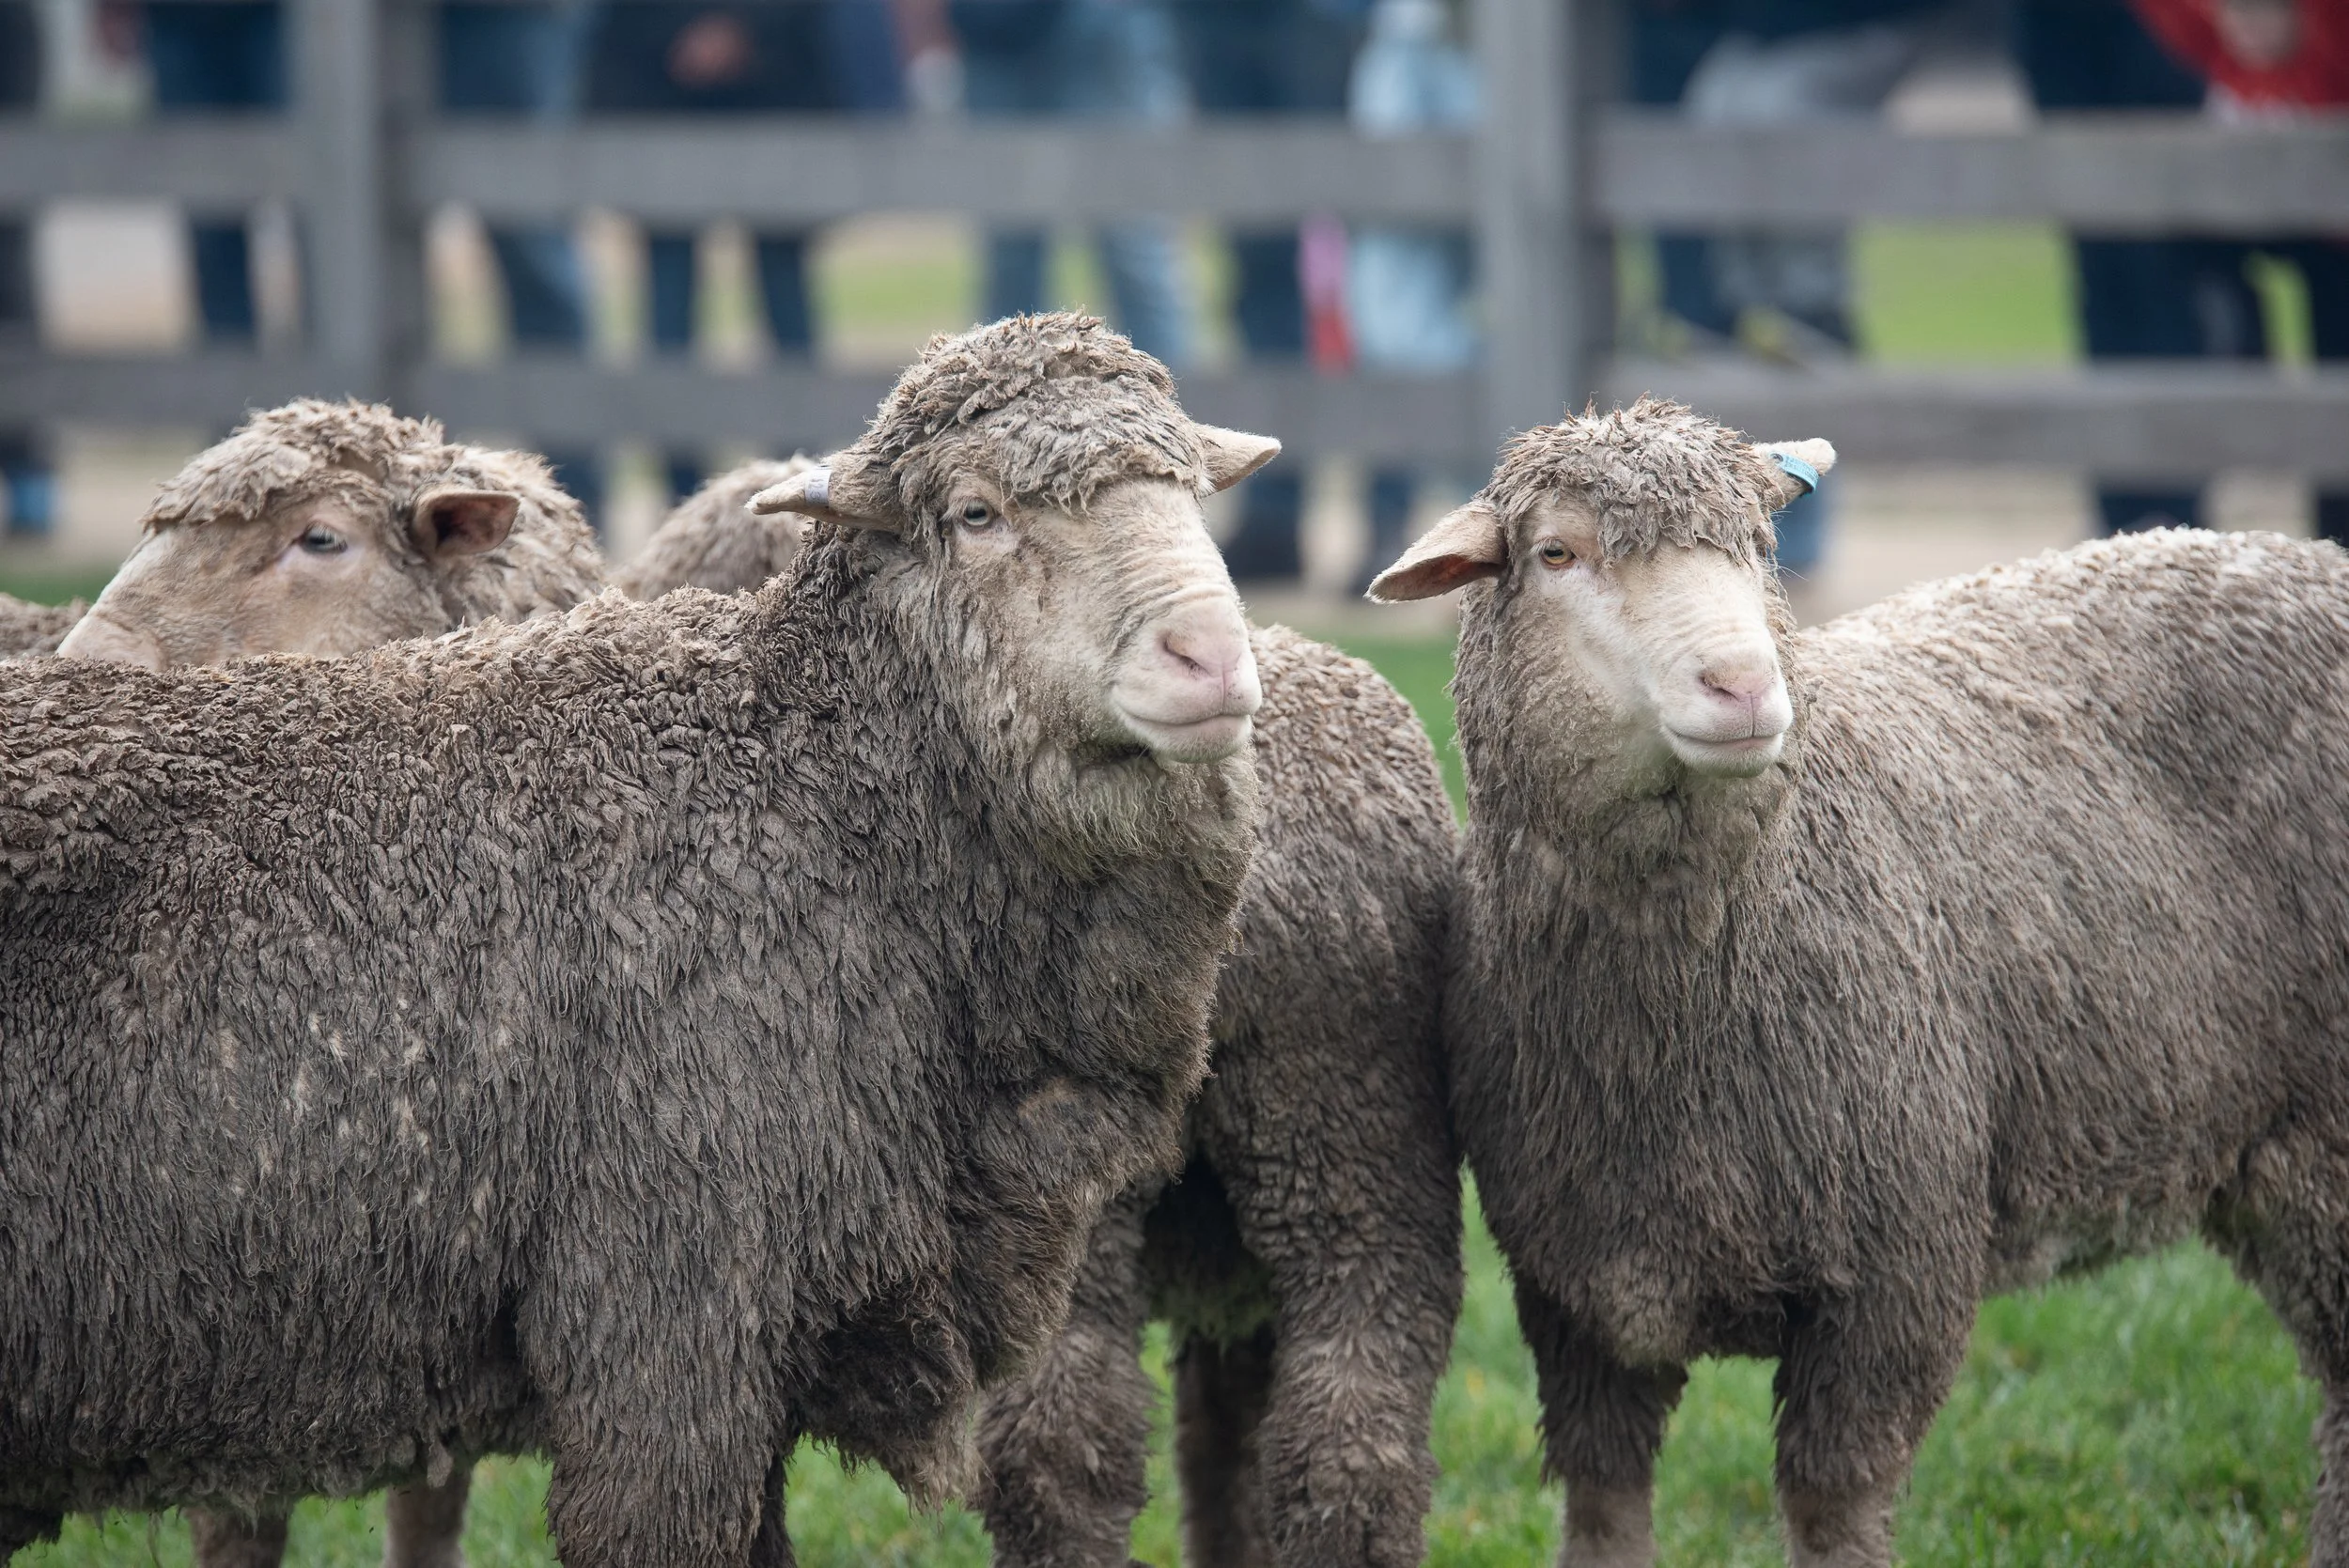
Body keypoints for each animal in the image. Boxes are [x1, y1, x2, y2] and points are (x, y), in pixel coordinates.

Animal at [1370, 395, 2349, 1568]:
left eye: (1759, 544)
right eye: (1556, 553)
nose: (1745, 687)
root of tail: (2314, 557)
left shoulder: (1897, 1277)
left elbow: (1833, 1509)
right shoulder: (1582, 1290)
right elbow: (1602, 1509)